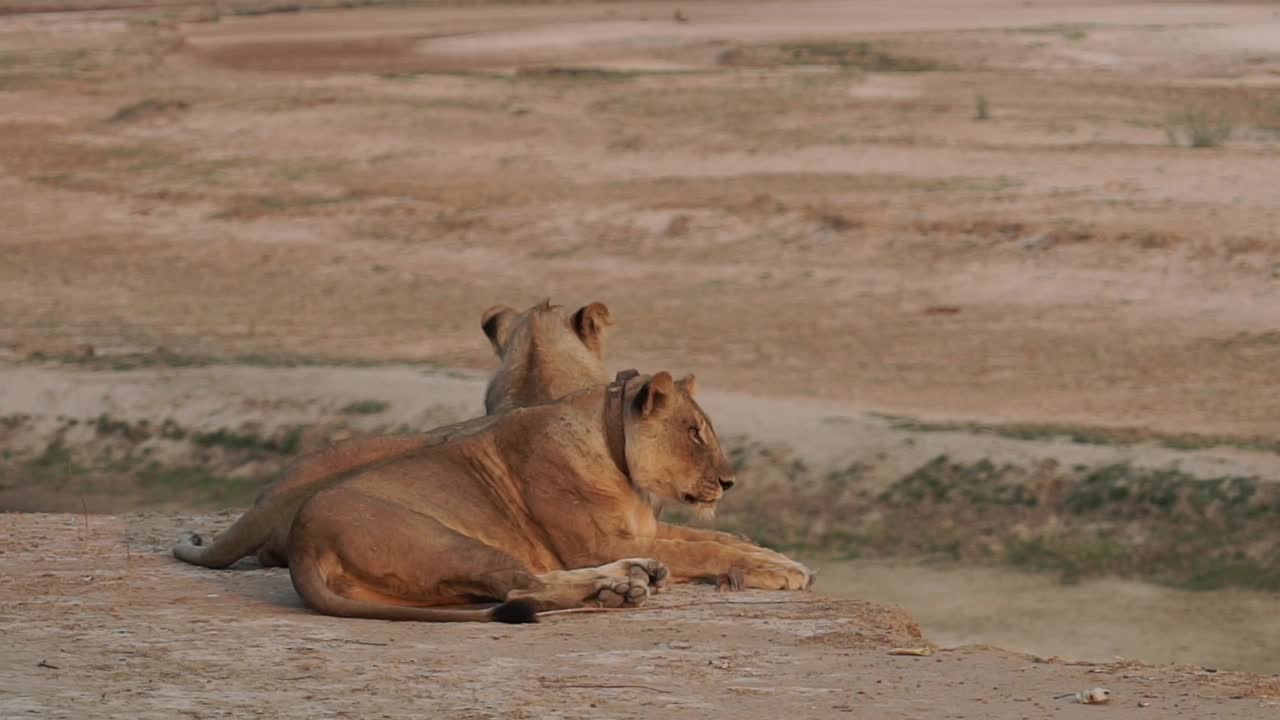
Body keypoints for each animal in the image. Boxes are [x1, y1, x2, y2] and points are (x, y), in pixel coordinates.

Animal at [286, 366, 814, 620]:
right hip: (446, 542)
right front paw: (781, 570)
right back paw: (618, 590)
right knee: (523, 586)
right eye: (694, 433)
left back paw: (633, 575)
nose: (729, 483)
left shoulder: (638, 531)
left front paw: (773, 555)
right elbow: (706, 548)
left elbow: (717, 539)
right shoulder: (598, 543)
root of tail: (301, 544)